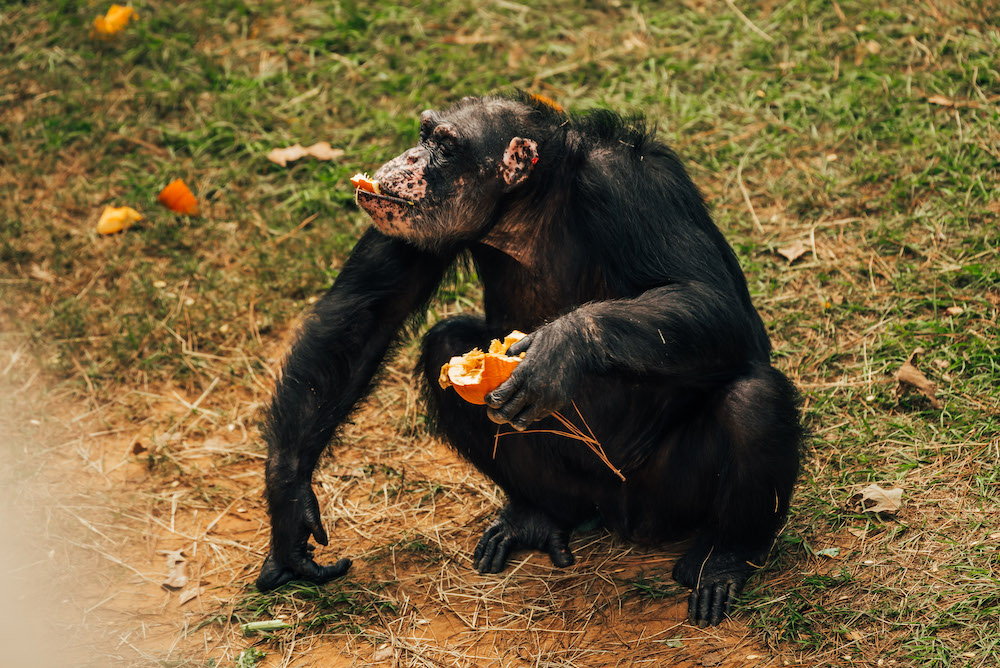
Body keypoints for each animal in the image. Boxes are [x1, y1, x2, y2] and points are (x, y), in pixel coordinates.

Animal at [260, 91, 804, 628]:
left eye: (445, 145)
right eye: (424, 134)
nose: (410, 157)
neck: (527, 208)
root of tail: (626, 518)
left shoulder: (634, 186)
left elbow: (715, 303)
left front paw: (561, 349)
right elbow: (363, 316)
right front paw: (290, 508)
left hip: (671, 497)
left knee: (754, 399)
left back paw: (723, 558)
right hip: (579, 487)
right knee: (444, 345)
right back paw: (539, 517)